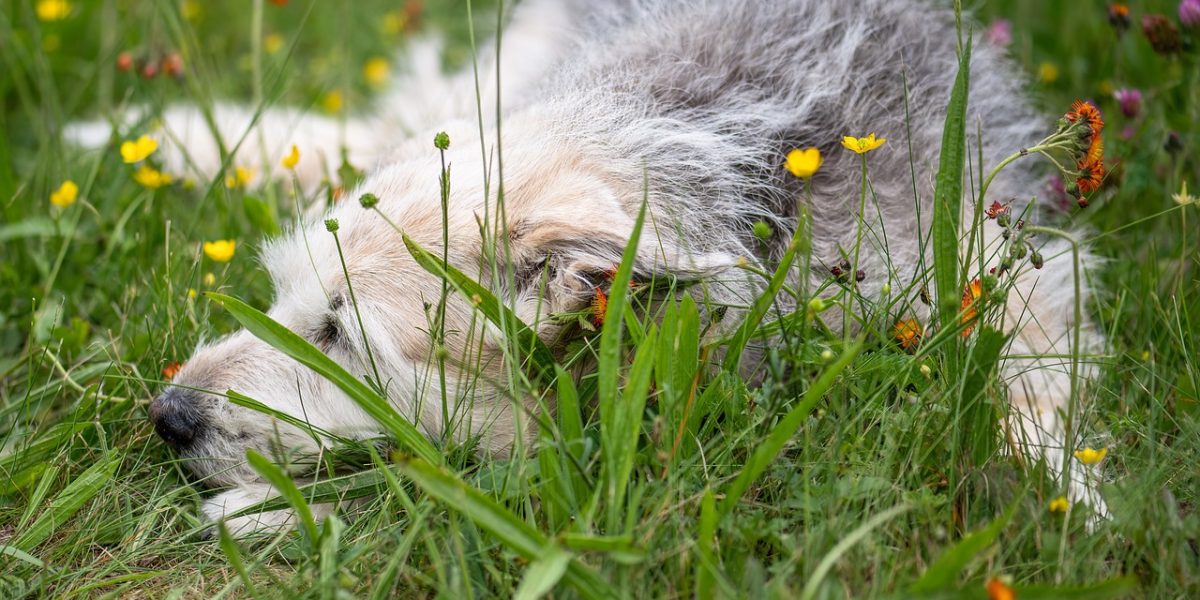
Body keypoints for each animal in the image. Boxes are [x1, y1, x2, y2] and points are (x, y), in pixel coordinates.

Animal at [77, 0, 1104, 535]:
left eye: (340, 335)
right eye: (283, 299)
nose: (166, 416)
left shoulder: (1006, 265)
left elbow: (1032, 391)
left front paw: (1071, 498)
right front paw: (268, 509)